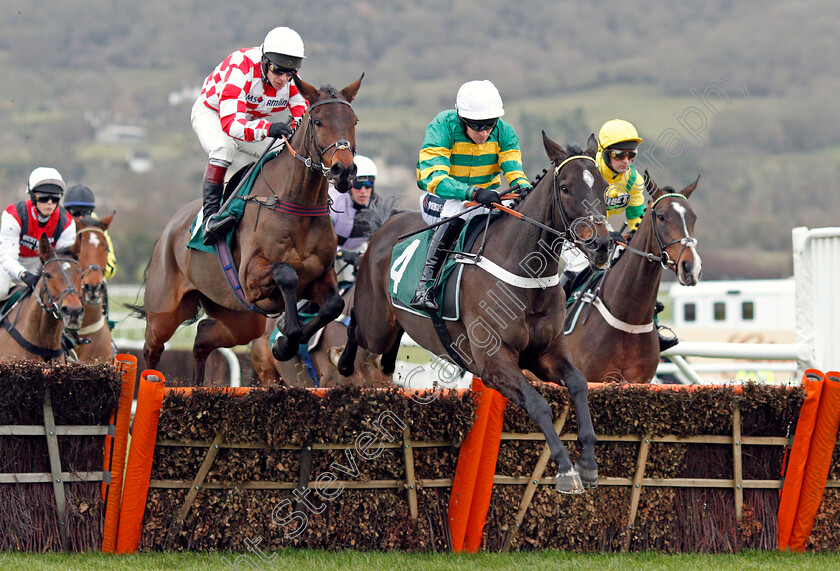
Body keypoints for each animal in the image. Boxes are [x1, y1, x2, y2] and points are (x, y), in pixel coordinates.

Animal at [138, 76, 360, 386]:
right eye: (318, 121)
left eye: (354, 121)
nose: (344, 171)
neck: (297, 205)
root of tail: (169, 230)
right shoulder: (250, 276)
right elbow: (286, 273)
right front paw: (286, 336)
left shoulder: (320, 275)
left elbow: (334, 305)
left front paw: (284, 342)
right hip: (165, 311)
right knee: (152, 349)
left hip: (239, 317)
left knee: (203, 338)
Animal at [338, 132, 612, 494]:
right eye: (565, 188)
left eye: (604, 188)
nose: (602, 246)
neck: (526, 274)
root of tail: (386, 225)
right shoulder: (494, 362)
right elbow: (537, 404)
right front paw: (566, 469)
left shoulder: (546, 353)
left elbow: (579, 384)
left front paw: (589, 462)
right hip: (376, 323)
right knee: (356, 327)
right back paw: (342, 362)